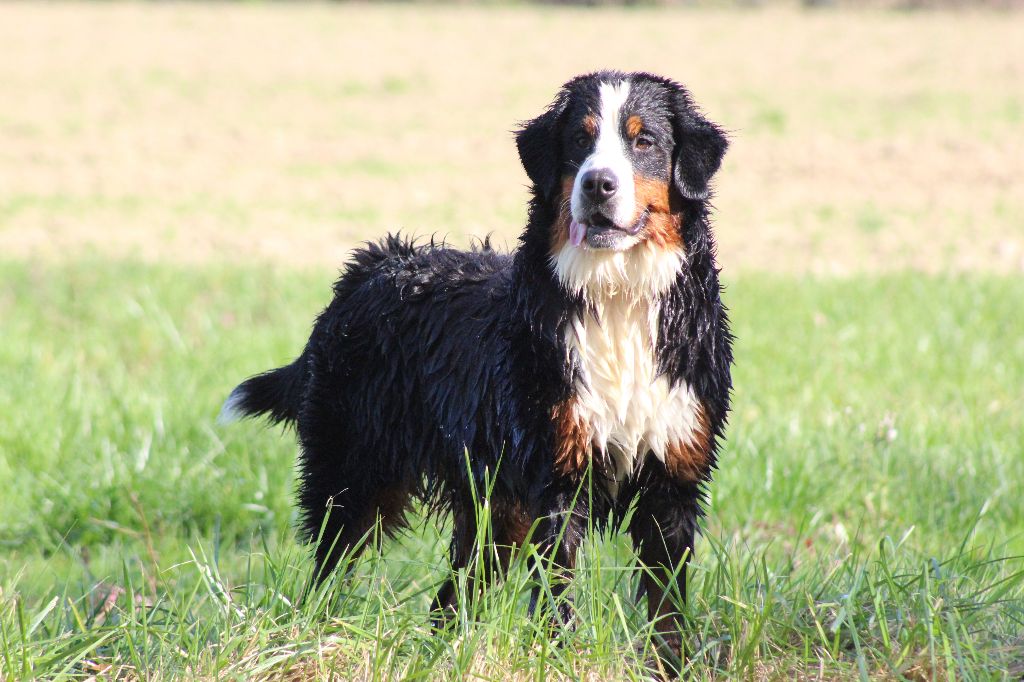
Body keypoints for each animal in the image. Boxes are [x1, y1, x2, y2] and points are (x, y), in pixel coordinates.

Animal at [221, 70, 732, 671]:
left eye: (644, 140)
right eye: (579, 140)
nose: (598, 184)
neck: (617, 298)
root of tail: (368, 268)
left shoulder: (672, 482)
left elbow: (667, 615)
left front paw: (670, 668)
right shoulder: (555, 480)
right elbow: (558, 600)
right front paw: (558, 660)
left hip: (493, 511)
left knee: (450, 599)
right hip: (353, 478)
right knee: (329, 570)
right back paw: (310, 639)